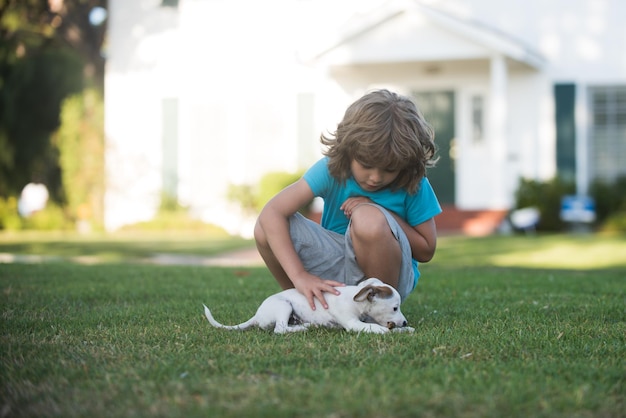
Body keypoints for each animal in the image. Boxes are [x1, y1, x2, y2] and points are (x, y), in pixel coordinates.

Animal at [202, 278, 412, 334]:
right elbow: (373, 327)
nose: (404, 322)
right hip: (284, 306)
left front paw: (405, 330)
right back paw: (305, 327)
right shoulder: (353, 323)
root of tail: (257, 315)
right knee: (280, 329)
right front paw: (386, 331)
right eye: (395, 307)